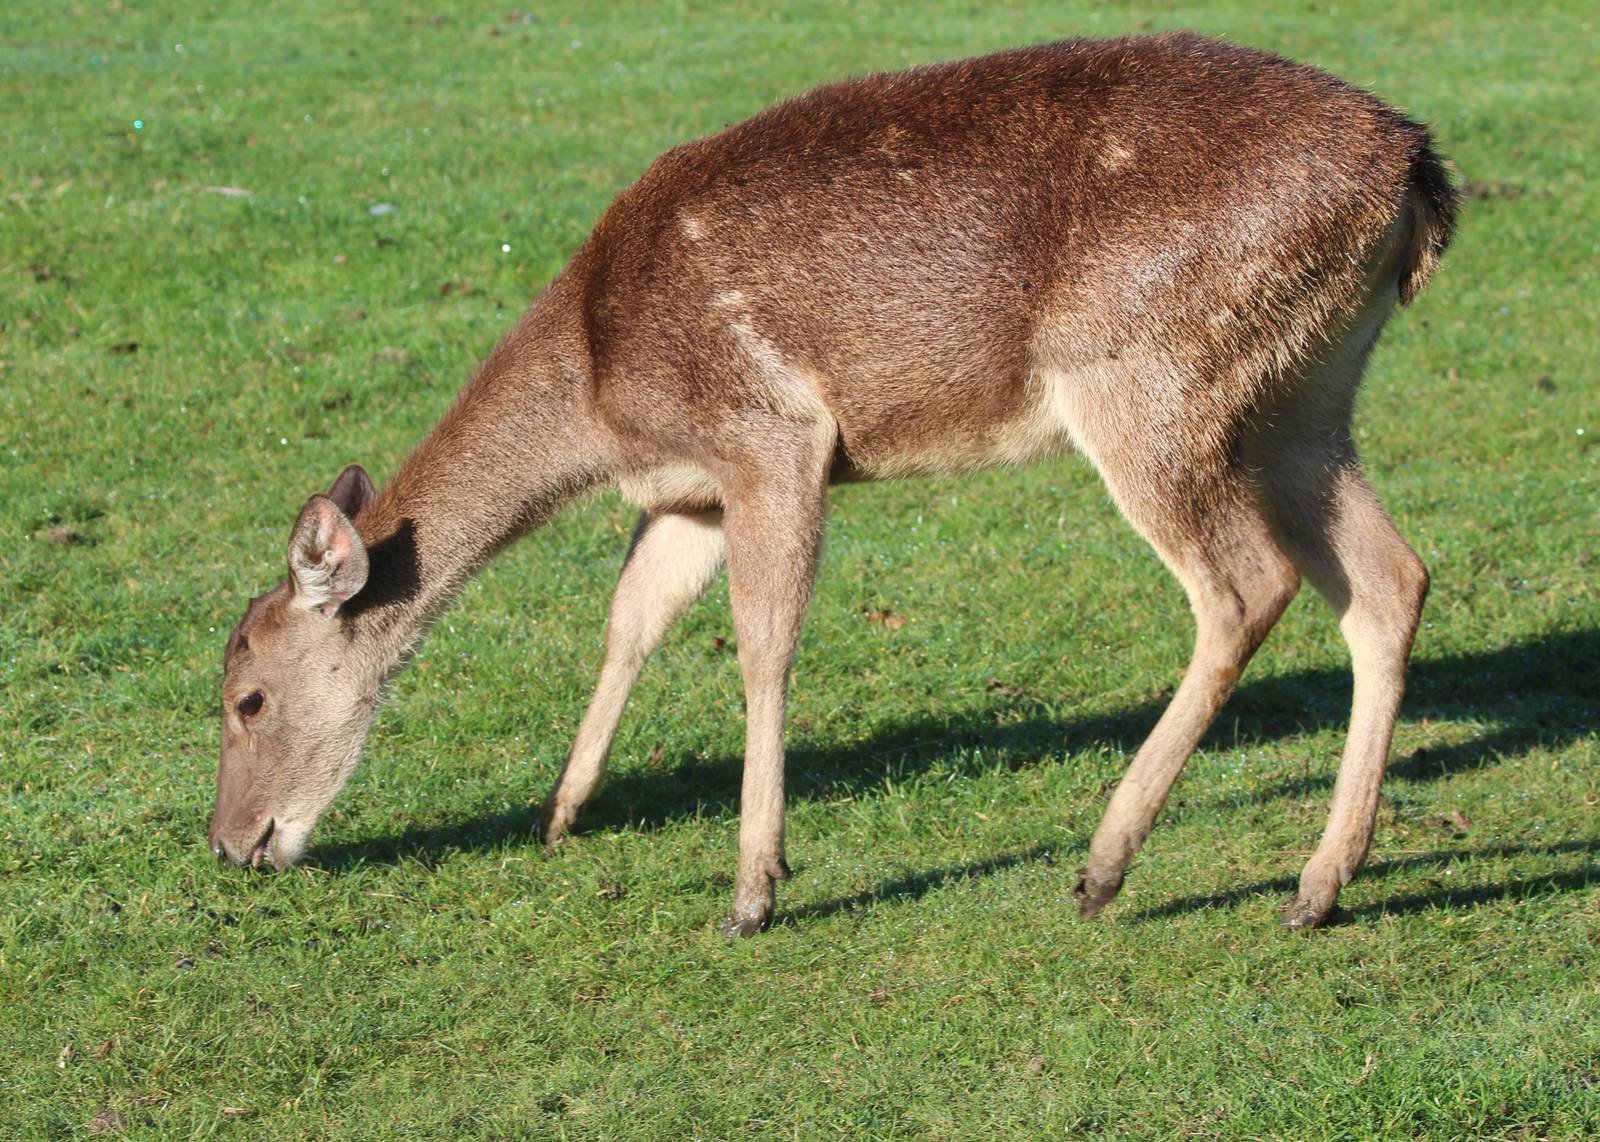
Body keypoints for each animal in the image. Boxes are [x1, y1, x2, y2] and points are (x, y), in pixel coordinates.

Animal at [210, 32, 1457, 936]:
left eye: (246, 697)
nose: (230, 842)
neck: (601, 396)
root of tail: (1417, 170)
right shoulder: (689, 488)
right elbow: (632, 617)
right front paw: (562, 812)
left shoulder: (771, 434)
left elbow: (764, 642)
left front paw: (752, 890)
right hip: (1303, 391)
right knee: (1390, 576)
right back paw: (1317, 884)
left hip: (1147, 378)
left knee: (1244, 584)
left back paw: (1104, 866)